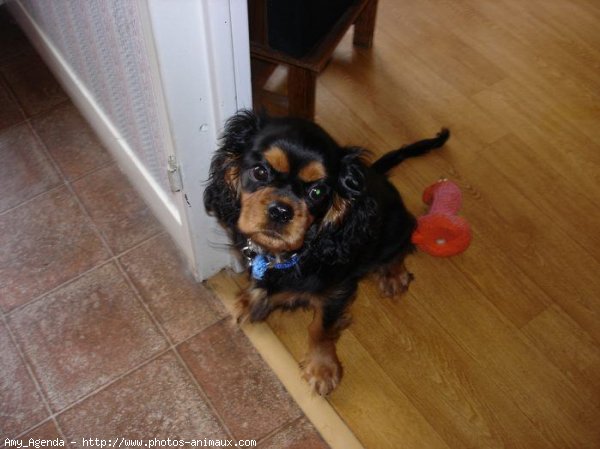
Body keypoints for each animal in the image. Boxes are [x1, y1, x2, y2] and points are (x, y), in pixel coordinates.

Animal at [204, 110, 448, 394]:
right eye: (260, 171)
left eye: (317, 191)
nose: (281, 211)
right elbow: (260, 285)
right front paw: (249, 300)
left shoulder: (337, 291)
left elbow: (320, 328)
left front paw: (322, 369)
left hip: (398, 227)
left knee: (400, 247)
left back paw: (393, 275)